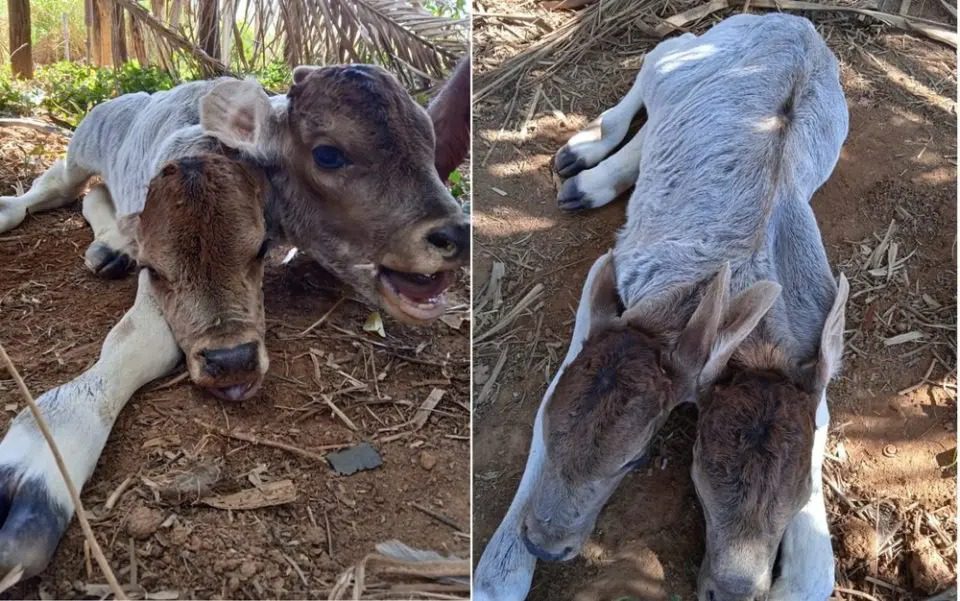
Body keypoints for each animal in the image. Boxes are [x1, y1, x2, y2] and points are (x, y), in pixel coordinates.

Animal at [0, 59, 468, 576]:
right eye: (328, 154)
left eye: (428, 143)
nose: (455, 233)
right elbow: (136, 340)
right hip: (82, 147)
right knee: (59, 184)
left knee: (94, 196)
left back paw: (111, 246)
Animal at [476, 14, 844, 600]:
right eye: (699, 467)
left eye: (637, 457)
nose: (546, 546)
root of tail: (792, 20)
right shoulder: (608, 287)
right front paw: (501, 571)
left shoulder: (815, 380)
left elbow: (816, 571)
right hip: (686, 57)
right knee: (654, 65)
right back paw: (582, 161)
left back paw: (594, 179)